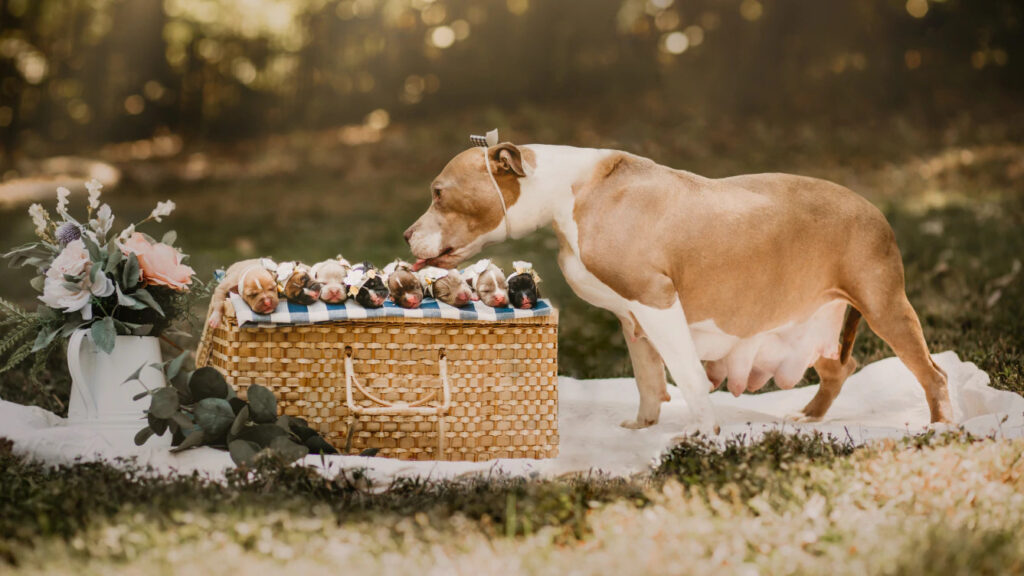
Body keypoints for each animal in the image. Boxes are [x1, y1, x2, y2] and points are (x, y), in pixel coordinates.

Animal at [403, 140, 954, 434]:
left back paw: (943, 425)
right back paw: (808, 417)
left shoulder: (657, 302)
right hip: (814, 319)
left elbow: (686, 374)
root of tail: (876, 211)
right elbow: (649, 379)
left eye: (439, 192)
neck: (565, 194)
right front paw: (643, 429)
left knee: (933, 372)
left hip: (884, 306)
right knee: (841, 368)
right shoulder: (633, 318)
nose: (407, 235)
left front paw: (703, 432)